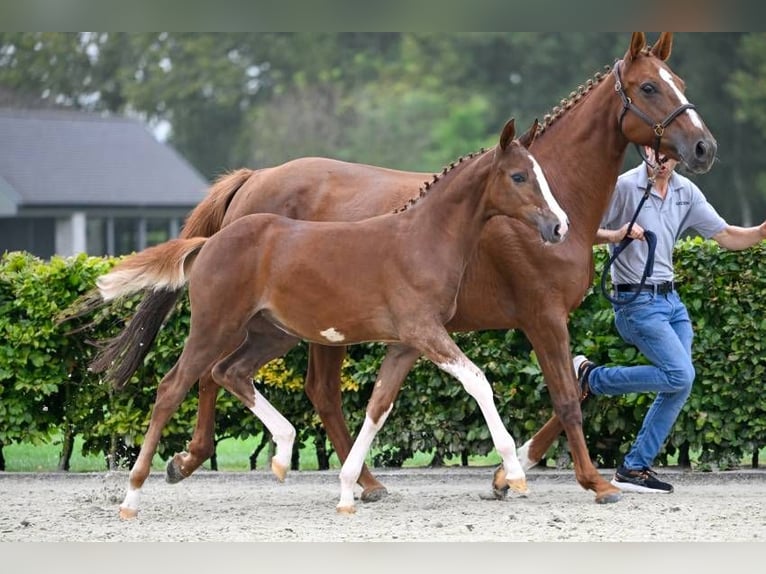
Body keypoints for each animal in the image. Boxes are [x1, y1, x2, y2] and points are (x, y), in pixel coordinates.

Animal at [99, 119, 568, 520]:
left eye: (542, 175)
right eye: (519, 177)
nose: (560, 226)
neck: (423, 239)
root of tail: (207, 243)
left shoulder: (406, 344)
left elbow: (379, 405)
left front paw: (348, 490)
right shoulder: (426, 332)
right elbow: (478, 382)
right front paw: (515, 474)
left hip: (272, 335)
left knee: (229, 372)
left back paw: (282, 453)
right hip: (215, 327)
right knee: (173, 387)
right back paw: (132, 497)